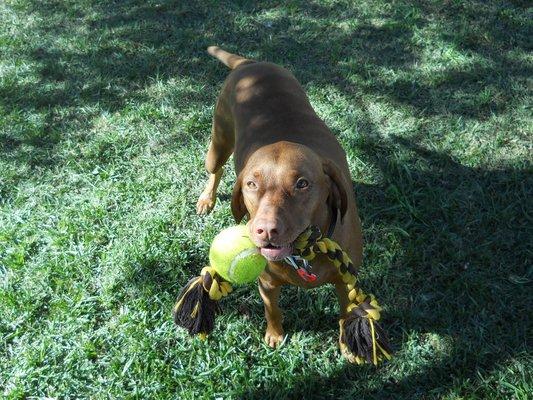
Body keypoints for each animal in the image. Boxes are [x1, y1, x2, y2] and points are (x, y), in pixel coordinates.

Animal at [197, 46, 364, 360]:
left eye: (302, 183)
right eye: (251, 185)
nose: (265, 230)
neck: (305, 252)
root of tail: (249, 64)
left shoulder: (345, 281)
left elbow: (347, 312)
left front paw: (349, 345)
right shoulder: (267, 283)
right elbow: (272, 310)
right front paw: (275, 335)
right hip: (218, 142)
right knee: (216, 169)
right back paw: (207, 199)